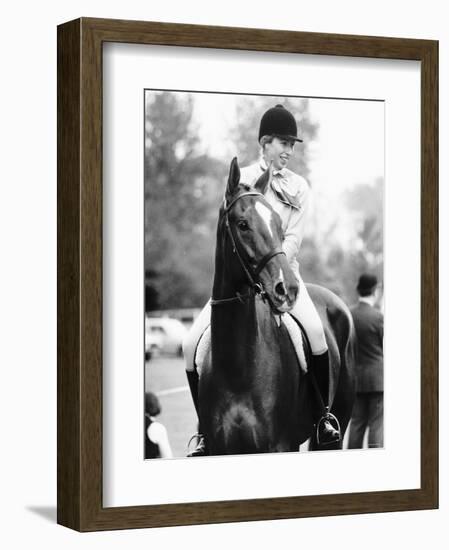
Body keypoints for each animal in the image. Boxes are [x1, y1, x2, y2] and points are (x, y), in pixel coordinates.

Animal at [196, 158, 354, 458]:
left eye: (279, 226)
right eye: (243, 224)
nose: (287, 289)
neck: (238, 367)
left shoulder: (278, 445)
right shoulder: (220, 449)